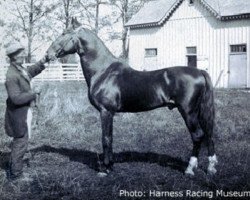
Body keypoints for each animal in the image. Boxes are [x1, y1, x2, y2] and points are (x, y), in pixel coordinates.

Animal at [46, 18, 218, 176]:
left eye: (64, 33)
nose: (48, 55)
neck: (103, 71)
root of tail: (199, 71)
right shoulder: (109, 113)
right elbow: (110, 137)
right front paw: (110, 165)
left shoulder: (106, 111)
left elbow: (106, 139)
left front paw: (106, 169)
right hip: (199, 112)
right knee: (208, 134)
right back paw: (211, 167)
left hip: (188, 112)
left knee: (198, 136)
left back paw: (189, 169)